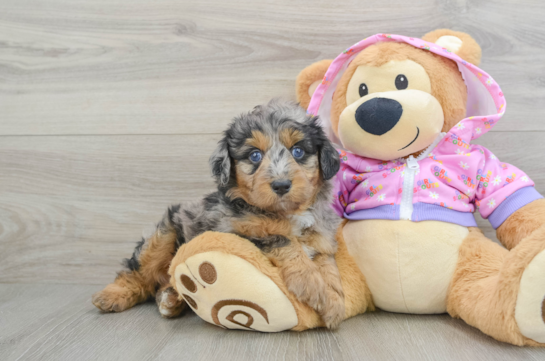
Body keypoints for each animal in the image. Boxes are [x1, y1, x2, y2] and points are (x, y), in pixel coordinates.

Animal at [91, 98, 342, 326]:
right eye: (254, 155)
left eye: (298, 151)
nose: (281, 185)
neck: (284, 213)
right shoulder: (234, 232)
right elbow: (284, 241)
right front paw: (313, 285)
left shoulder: (321, 237)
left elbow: (327, 262)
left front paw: (333, 297)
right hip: (163, 235)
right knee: (138, 273)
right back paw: (113, 295)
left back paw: (171, 299)